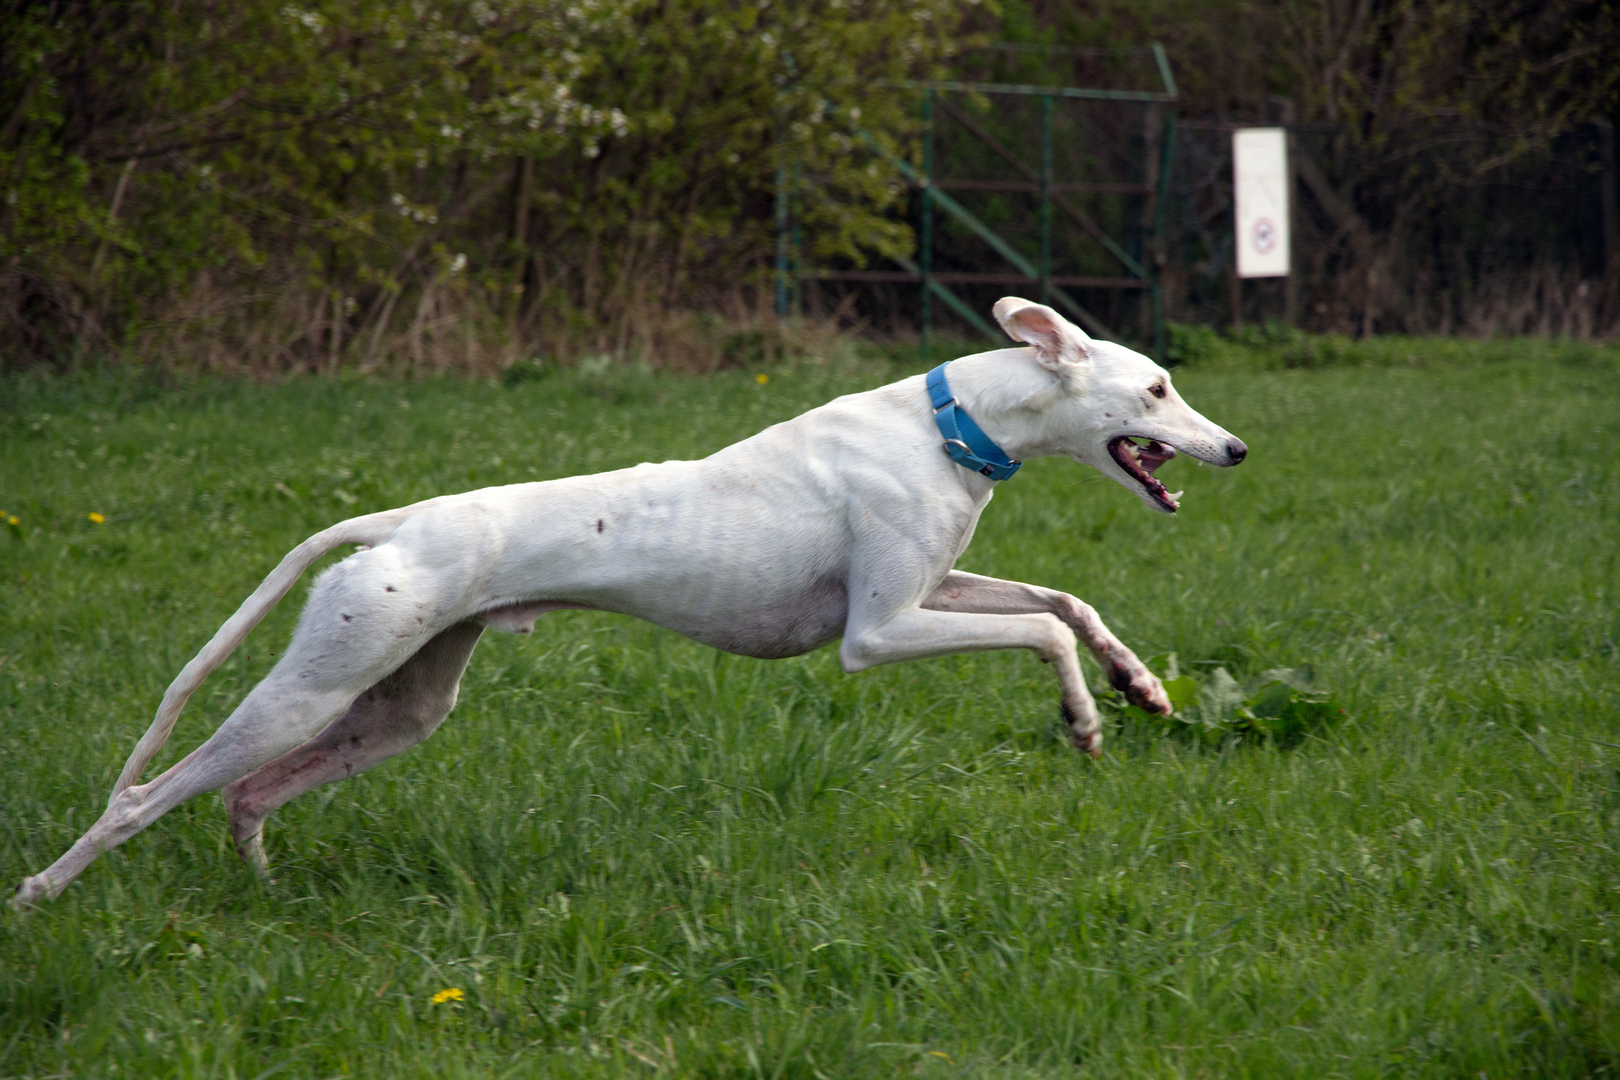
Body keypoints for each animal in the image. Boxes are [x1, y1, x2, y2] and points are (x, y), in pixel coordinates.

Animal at [12, 299, 1244, 906]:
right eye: (1157, 389)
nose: (1234, 449)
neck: (952, 423)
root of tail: (398, 522)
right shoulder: (881, 631)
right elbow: (1038, 625)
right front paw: (1082, 720)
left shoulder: (935, 587)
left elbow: (1065, 600)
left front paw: (1138, 687)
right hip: (309, 689)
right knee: (147, 797)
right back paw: (39, 895)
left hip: (399, 705)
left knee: (247, 796)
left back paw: (264, 891)